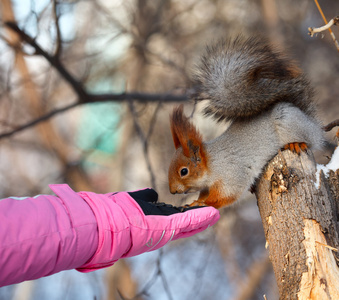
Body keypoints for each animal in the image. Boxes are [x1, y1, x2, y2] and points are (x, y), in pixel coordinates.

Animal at [169, 35, 326, 209]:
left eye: (184, 171)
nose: (172, 191)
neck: (211, 163)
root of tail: (309, 120)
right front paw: (196, 201)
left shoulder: (231, 174)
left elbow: (226, 195)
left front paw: (203, 203)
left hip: (289, 120)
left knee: (311, 140)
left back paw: (296, 143)